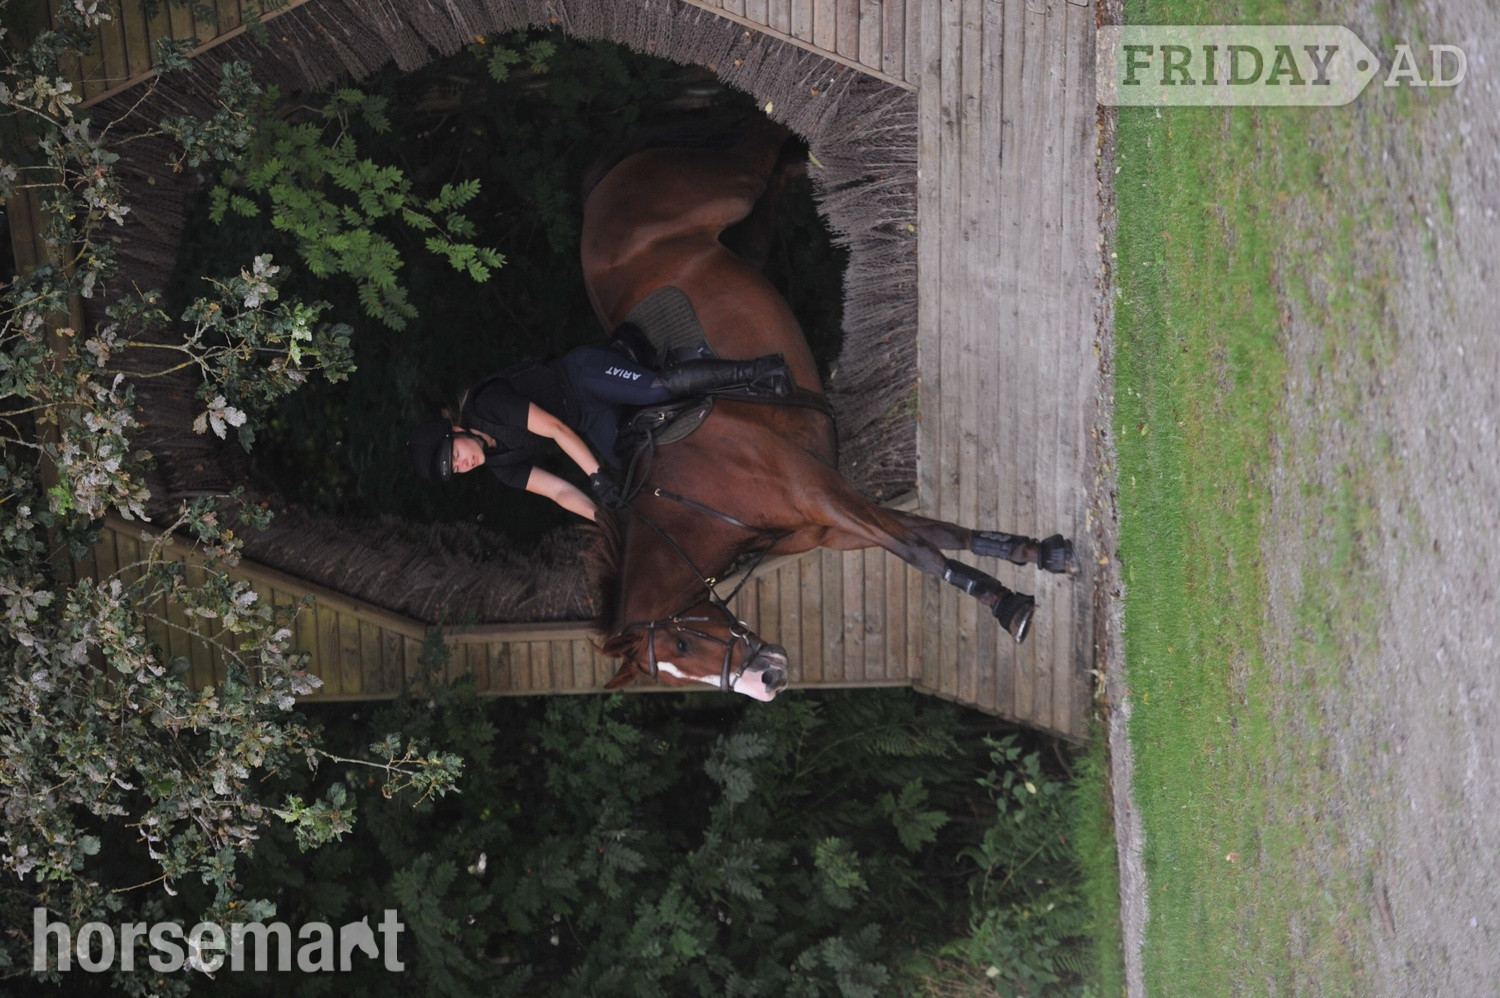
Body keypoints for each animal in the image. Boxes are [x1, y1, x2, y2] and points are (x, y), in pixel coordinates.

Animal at [581, 120, 1075, 702]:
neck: (698, 498)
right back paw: (800, 163)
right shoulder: (831, 524)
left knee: (754, 150)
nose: (770, 679)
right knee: (766, 194)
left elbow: (923, 551)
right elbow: (935, 538)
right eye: (677, 665)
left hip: (724, 188)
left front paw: (1008, 601)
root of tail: (597, 198)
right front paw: (1032, 558)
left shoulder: (822, 495)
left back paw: (796, 133)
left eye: (682, 643)